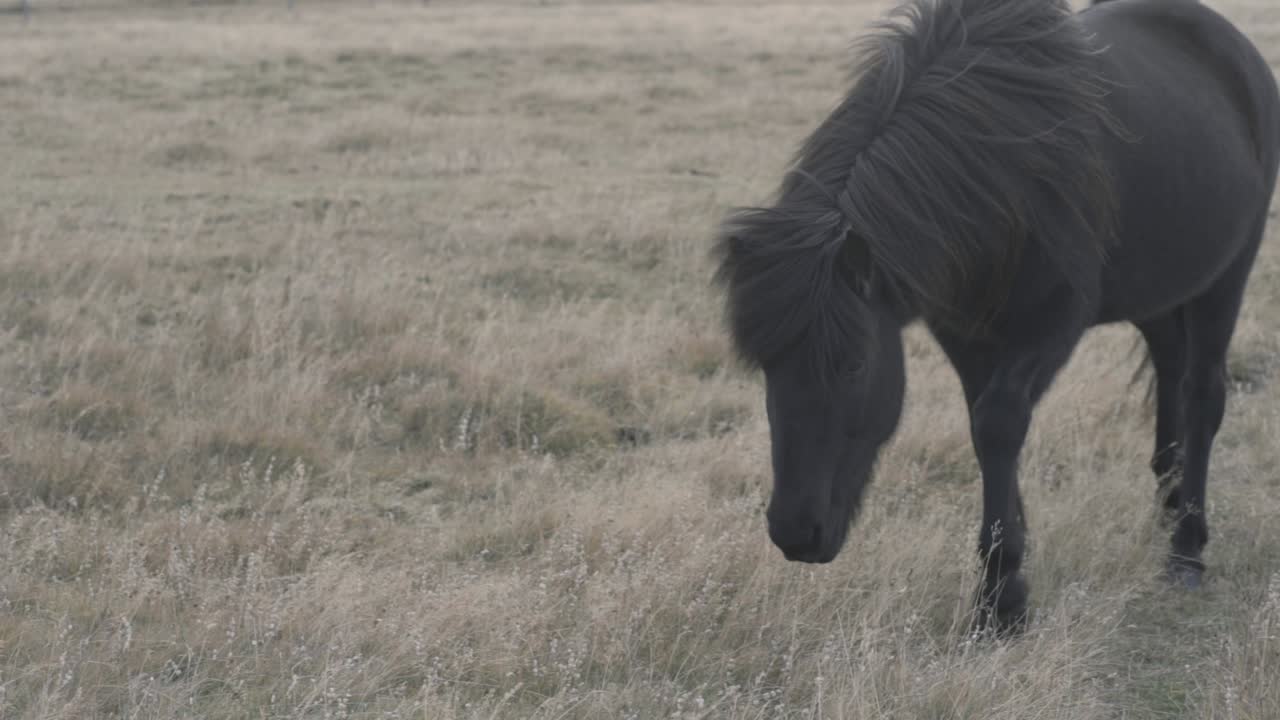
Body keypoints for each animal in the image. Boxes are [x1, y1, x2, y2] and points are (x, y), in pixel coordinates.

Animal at [713, 0, 1280, 633]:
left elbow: (999, 424)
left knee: (1202, 395)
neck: (1003, 167)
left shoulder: (1053, 327)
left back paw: (1186, 549)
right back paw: (1170, 503)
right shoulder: (964, 333)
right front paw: (1012, 568)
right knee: (1170, 371)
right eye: (763, 365)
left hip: (1225, 279)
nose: (794, 532)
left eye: (854, 365)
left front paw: (1000, 595)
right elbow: (984, 431)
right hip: (1159, 292)